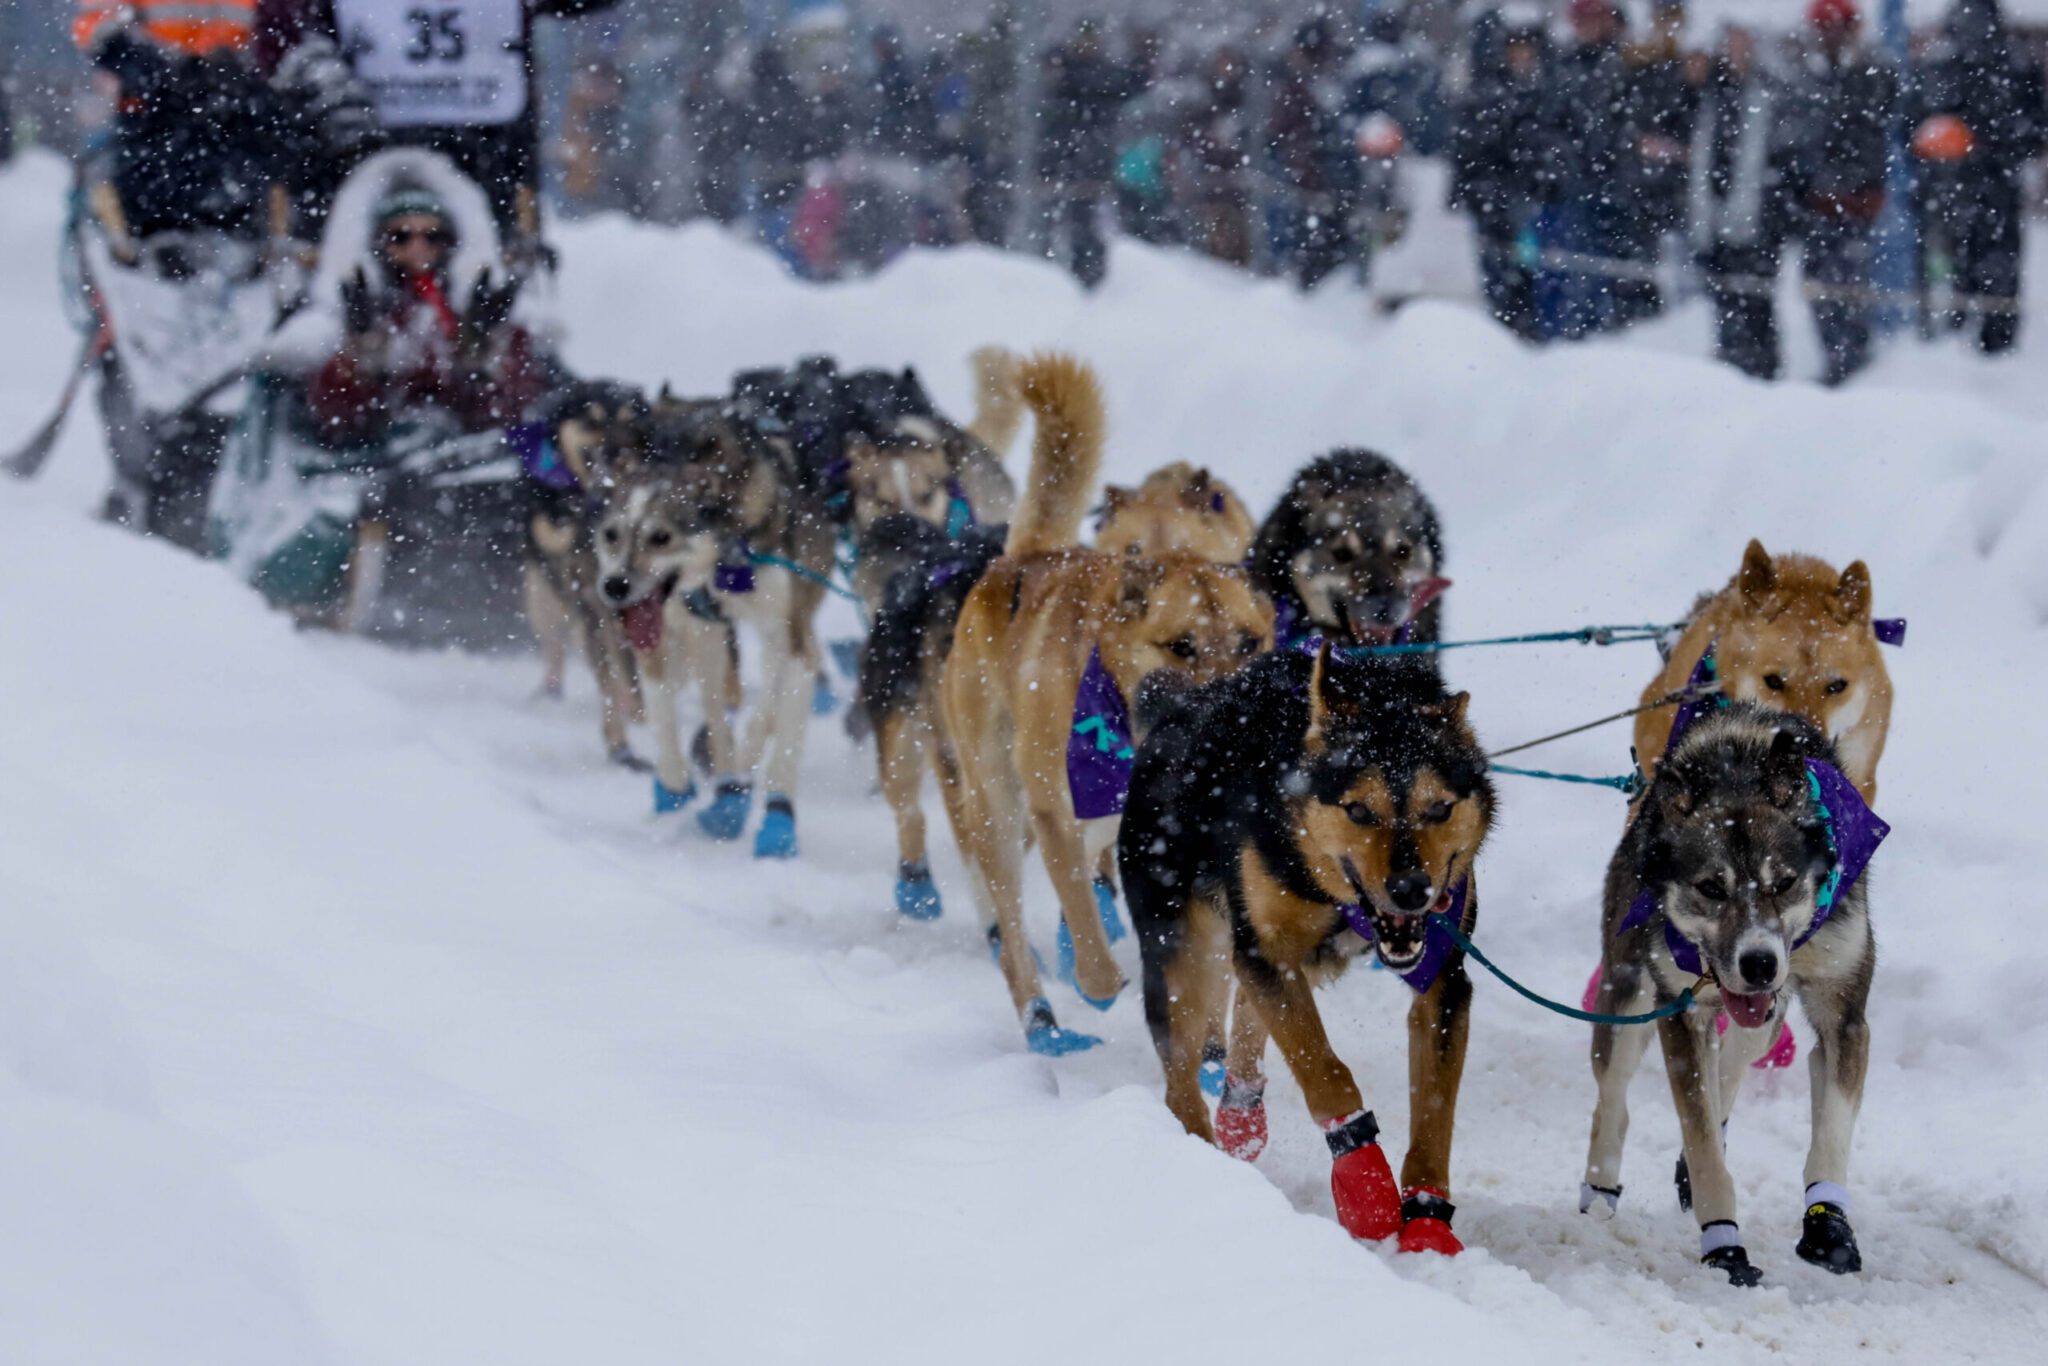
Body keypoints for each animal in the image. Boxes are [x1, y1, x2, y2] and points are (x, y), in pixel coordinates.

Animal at [1114, 647, 1499, 1253]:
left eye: (1439, 809)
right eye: (1359, 811)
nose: (1411, 889)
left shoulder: (1444, 975)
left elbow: (1434, 1112)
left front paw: (1427, 1219)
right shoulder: (1266, 950)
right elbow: (1325, 1071)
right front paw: (1365, 1187)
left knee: (1250, 1015)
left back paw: (1240, 1114)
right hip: (1181, 956)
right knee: (1181, 1081)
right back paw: (1202, 1167)